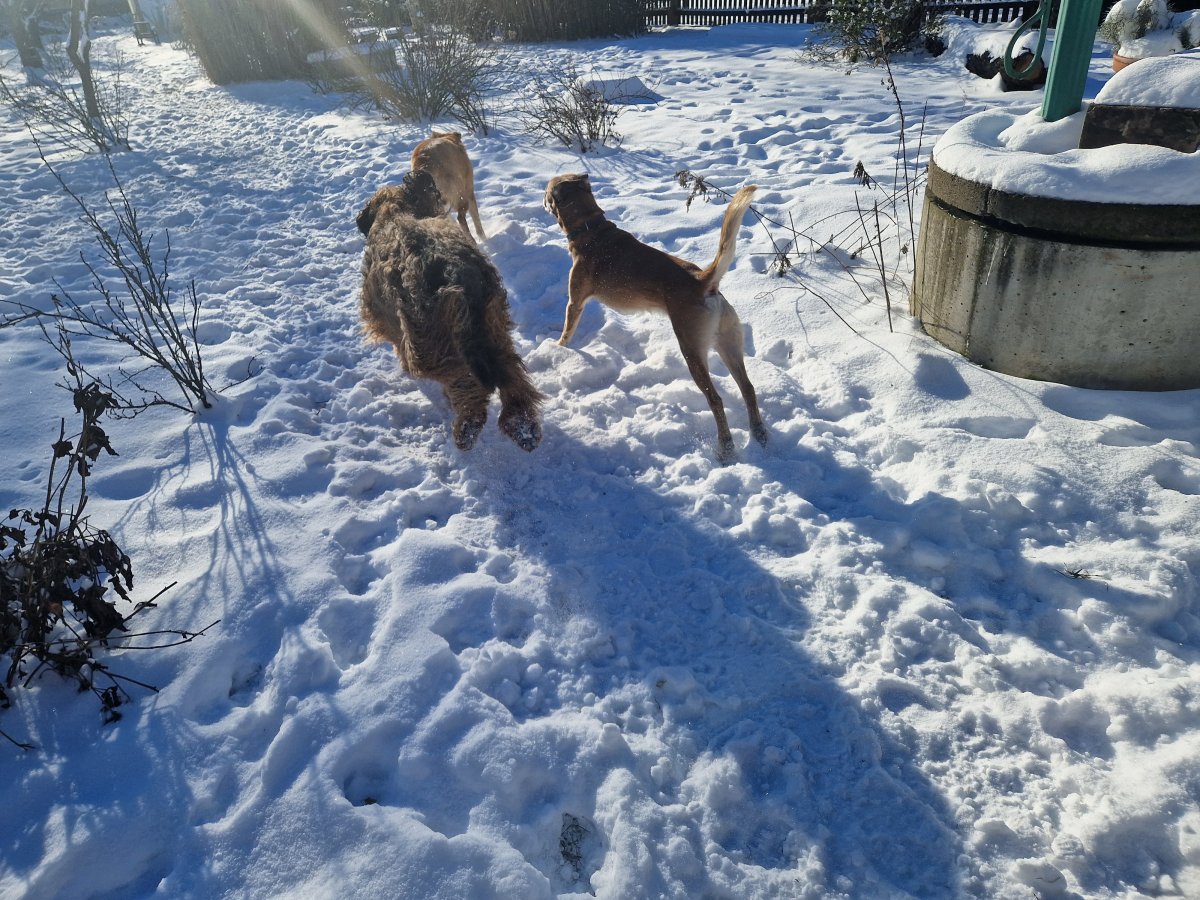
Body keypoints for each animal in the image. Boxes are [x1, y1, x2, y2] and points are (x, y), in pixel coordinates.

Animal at [356, 170, 542, 452]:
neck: (394, 212)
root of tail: (457, 277)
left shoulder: (386, 316)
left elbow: (396, 341)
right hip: (495, 328)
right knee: (512, 374)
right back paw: (522, 427)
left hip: (428, 344)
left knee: (466, 384)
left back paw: (467, 428)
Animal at [544, 173, 766, 462]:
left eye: (547, 191)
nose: (541, 197)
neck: (590, 229)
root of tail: (703, 282)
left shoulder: (575, 302)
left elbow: (566, 333)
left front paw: (557, 350)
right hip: (728, 343)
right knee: (748, 388)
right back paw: (758, 433)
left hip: (692, 351)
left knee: (716, 400)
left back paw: (725, 447)